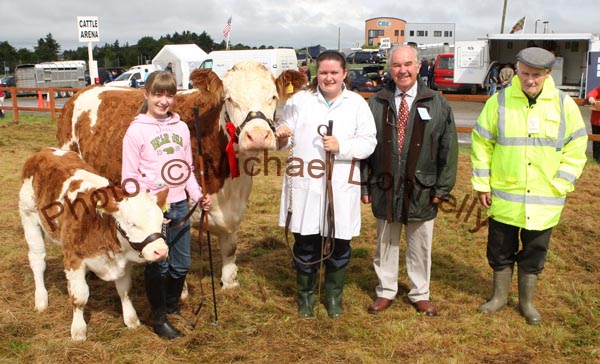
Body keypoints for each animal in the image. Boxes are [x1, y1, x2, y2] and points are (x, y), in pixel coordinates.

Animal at [19, 146, 169, 340]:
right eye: (133, 223)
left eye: (161, 221)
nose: (161, 251)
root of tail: (44, 151)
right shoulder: (74, 259)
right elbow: (79, 297)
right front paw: (78, 331)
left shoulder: (124, 262)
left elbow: (124, 290)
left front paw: (131, 320)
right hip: (29, 217)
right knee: (37, 260)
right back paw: (41, 299)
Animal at [56, 63, 308, 290]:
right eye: (228, 99)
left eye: (273, 97)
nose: (257, 136)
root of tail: (81, 92)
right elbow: (172, 253)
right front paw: (181, 292)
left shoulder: (233, 209)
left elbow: (230, 247)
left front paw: (230, 284)